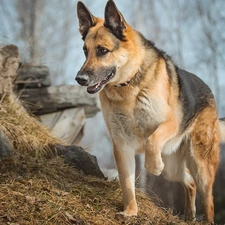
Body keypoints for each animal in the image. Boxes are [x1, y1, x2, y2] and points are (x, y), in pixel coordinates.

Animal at [75, 0, 225, 221]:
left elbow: (151, 141)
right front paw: (130, 211)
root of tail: (211, 95)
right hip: (173, 168)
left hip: (201, 166)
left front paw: (152, 166)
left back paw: (205, 220)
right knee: (189, 182)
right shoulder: (122, 146)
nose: (80, 79)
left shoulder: (169, 124)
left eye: (102, 50)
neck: (128, 87)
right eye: (85, 51)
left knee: (208, 199)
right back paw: (189, 216)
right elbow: (127, 184)